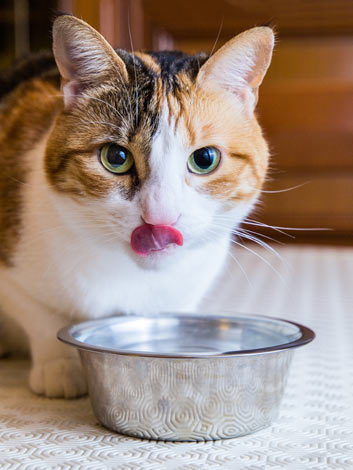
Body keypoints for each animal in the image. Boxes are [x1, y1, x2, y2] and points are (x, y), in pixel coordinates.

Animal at [0, 13, 274, 396]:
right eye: (115, 157)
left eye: (205, 159)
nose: (159, 217)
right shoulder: (11, 277)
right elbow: (40, 315)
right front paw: (60, 365)